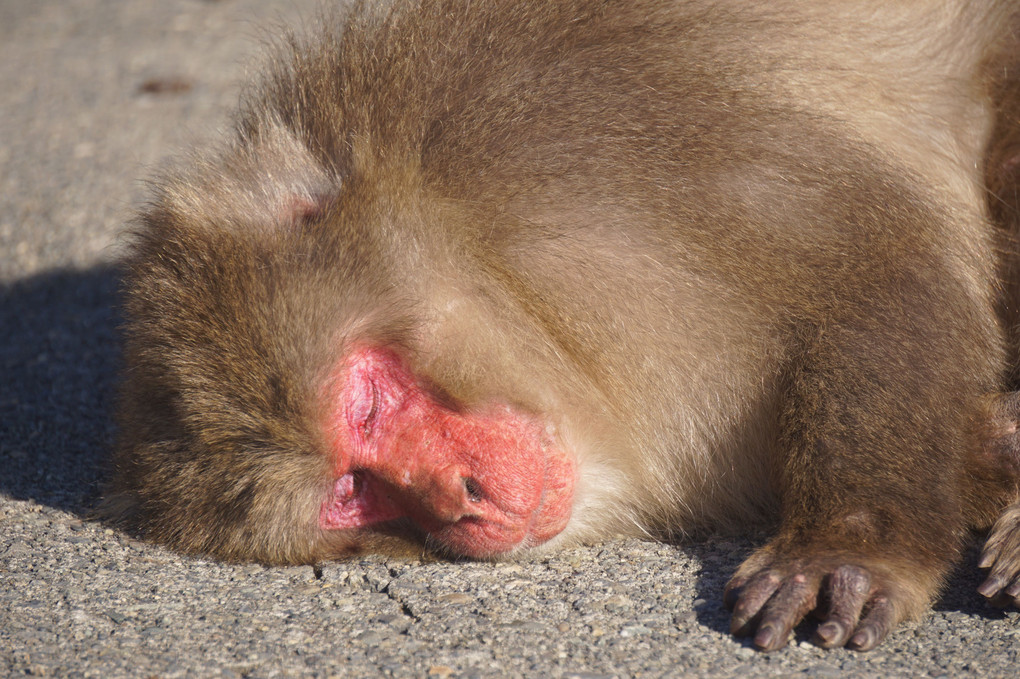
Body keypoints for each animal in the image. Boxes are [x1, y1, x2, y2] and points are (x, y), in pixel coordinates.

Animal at [101, 0, 1020, 652]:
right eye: (355, 492)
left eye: (365, 406)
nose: (457, 501)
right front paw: (996, 453)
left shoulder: (594, 159)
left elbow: (878, 274)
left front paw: (849, 542)